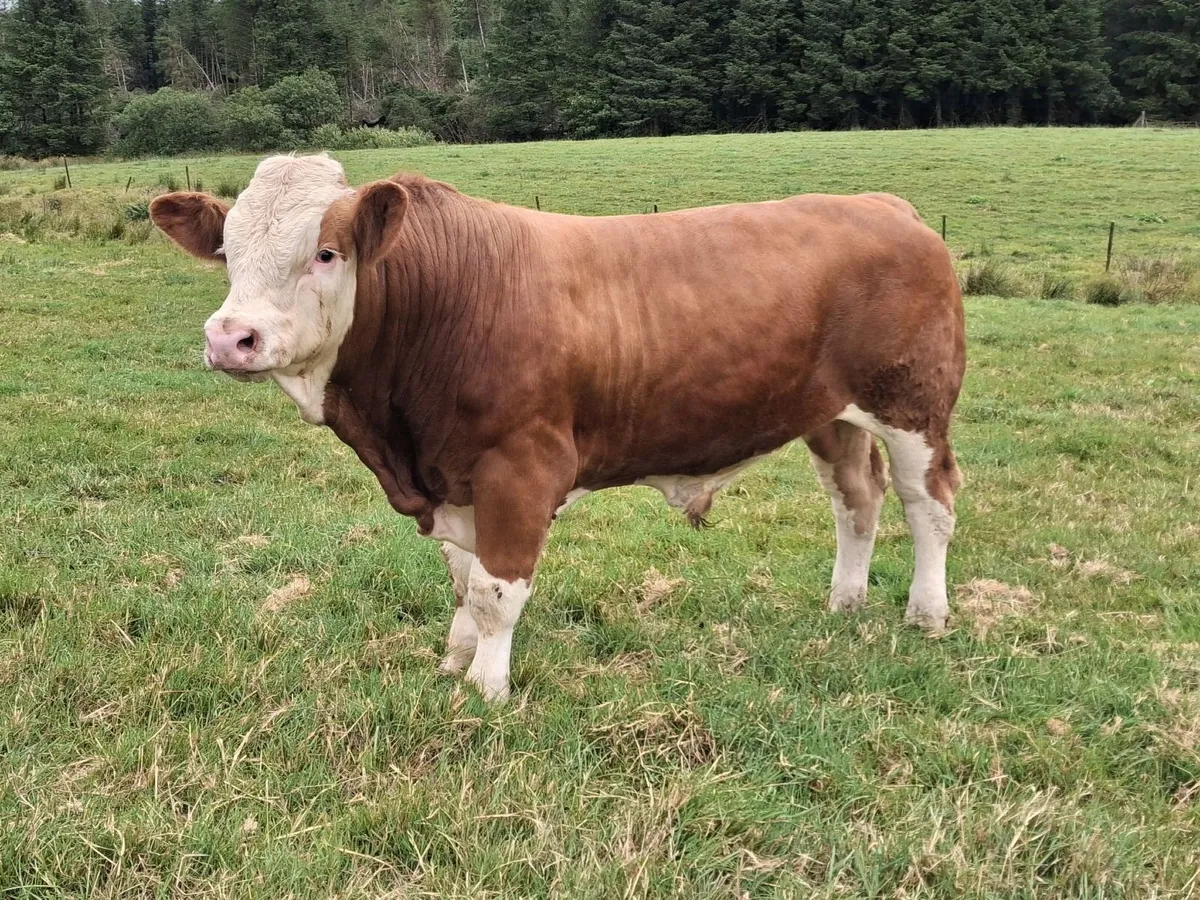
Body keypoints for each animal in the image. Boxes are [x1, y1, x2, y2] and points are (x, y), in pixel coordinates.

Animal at [150, 154, 965, 701]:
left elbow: (495, 590)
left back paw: (926, 614)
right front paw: (454, 659)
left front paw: (487, 689)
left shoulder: (521, 467)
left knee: (928, 503)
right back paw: (845, 603)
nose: (231, 337)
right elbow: (462, 580)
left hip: (915, 406)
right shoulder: (455, 477)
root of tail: (886, 206)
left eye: (325, 253)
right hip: (831, 415)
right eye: (228, 252)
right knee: (855, 499)